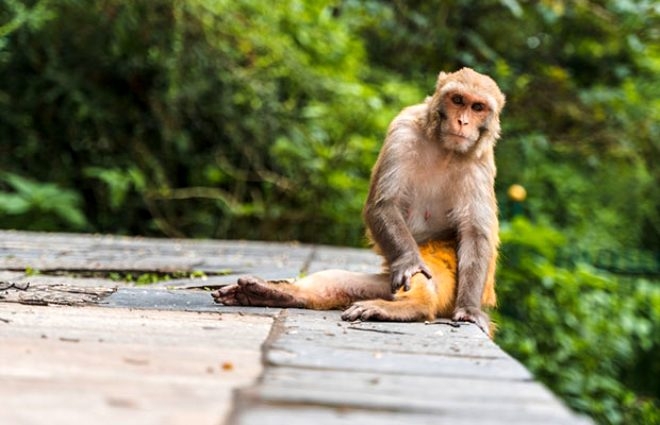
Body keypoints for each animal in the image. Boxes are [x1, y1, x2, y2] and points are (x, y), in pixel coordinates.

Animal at [211, 68, 506, 336]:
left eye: (477, 107)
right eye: (457, 100)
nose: (462, 121)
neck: (444, 149)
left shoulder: (481, 163)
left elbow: (474, 233)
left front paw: (468, 309)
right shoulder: (403, 130)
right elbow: (383, 204)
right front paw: (409, 262)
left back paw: (409, 308)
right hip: (387, 280)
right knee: (351, 279)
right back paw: (274, 294)